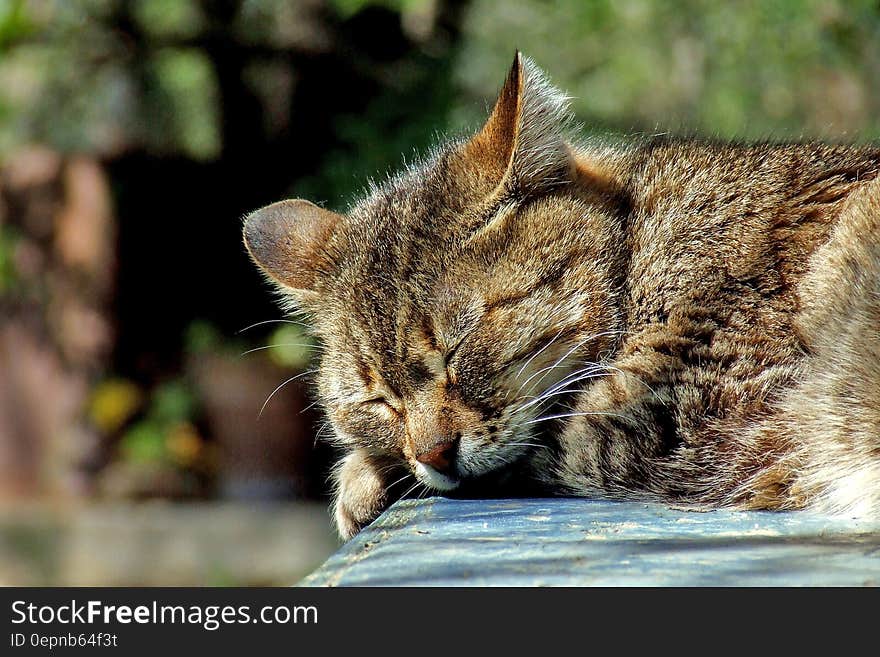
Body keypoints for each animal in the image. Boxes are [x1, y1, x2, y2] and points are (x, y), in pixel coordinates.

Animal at [242, 52, 880, 540]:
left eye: (458, 349)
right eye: (378, 400)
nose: (434, 455)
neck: (641, 248)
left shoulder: (679, 413)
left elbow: (535, 444)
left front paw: (360, 477)